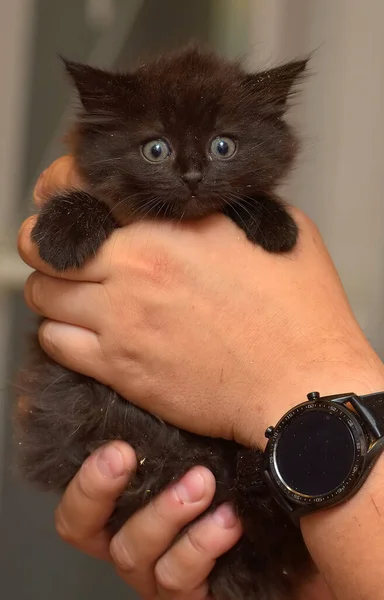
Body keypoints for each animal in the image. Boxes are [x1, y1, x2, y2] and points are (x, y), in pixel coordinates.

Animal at [16, 47, 314, 600]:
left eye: (223, 146)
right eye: (156, 149)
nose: (193, 176)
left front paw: (275, 223)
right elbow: (101, 202)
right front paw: (64, 228)